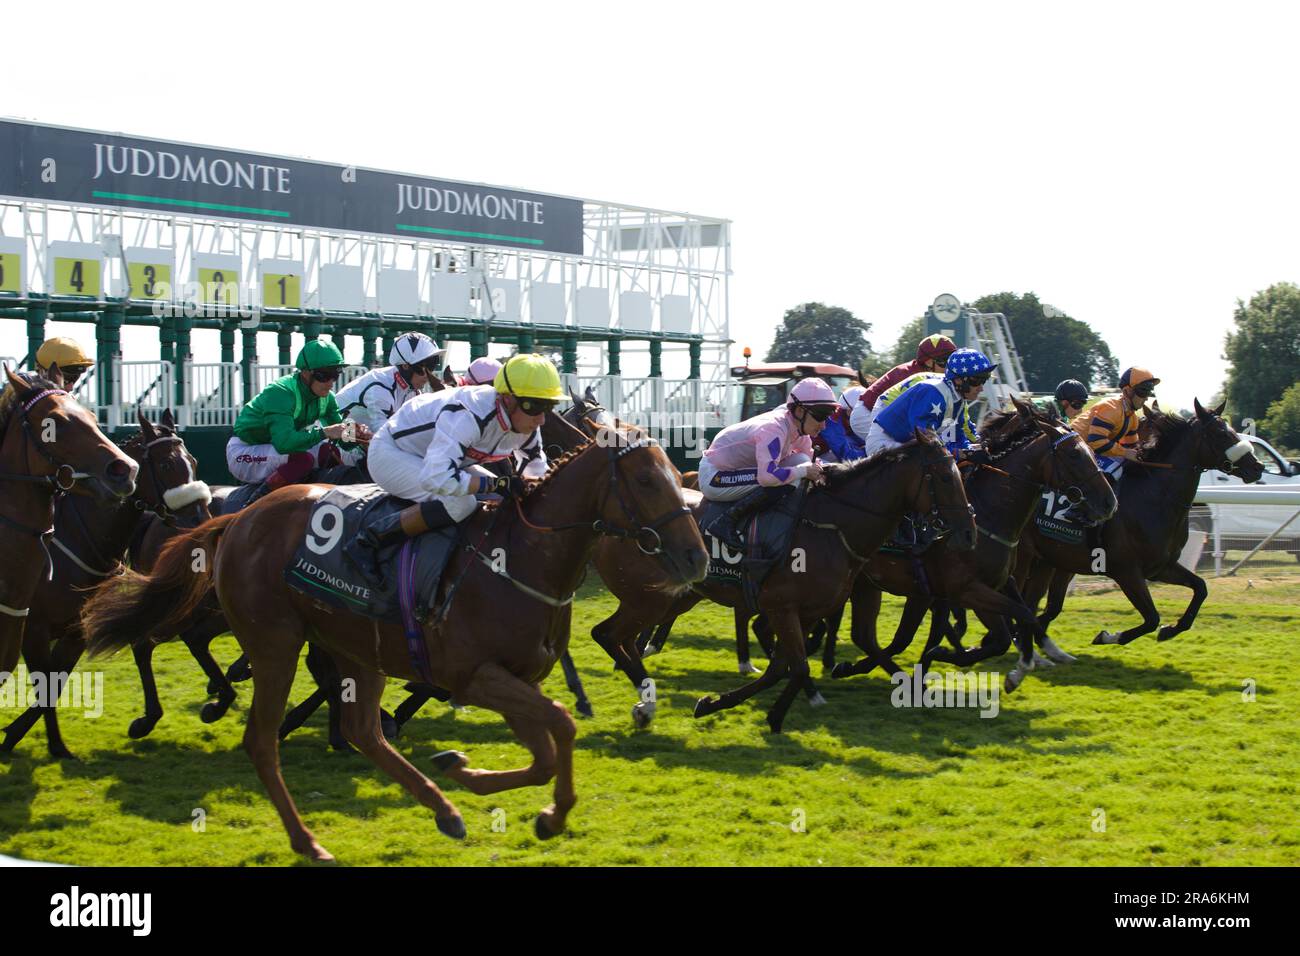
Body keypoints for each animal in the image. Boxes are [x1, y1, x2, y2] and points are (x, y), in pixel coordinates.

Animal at [1, 408, 210, 759]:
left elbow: (54, 684)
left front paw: (51, 745)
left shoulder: (76, 631)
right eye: (167, 465)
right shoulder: (33, 628)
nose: (200, 520)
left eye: (193, 461)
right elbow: (44, 682)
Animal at [82, 426, 707, 858]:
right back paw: (308, 840)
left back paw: (443, 807)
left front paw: (473, 776)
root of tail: (235, 519)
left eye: (677, 475)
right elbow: (561, 725)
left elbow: (546, 750)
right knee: (259, 737)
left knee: (363, 730)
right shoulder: (473, 676)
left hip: (357, 647)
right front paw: (544, 809)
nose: (696, 558)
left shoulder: (511, 679)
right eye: (646, 480)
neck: (517, 558)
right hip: (275, 643)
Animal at [1013, 395, 1258, 650]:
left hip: (1048, 559)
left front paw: (1171, 630)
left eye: (1233, 431)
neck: (1155, 497)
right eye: (1221, 434)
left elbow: (1200, 588)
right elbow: (1151, 618)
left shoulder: (1161, 567)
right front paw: (1108, 636)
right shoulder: (1126, 571)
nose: (1257, 467)